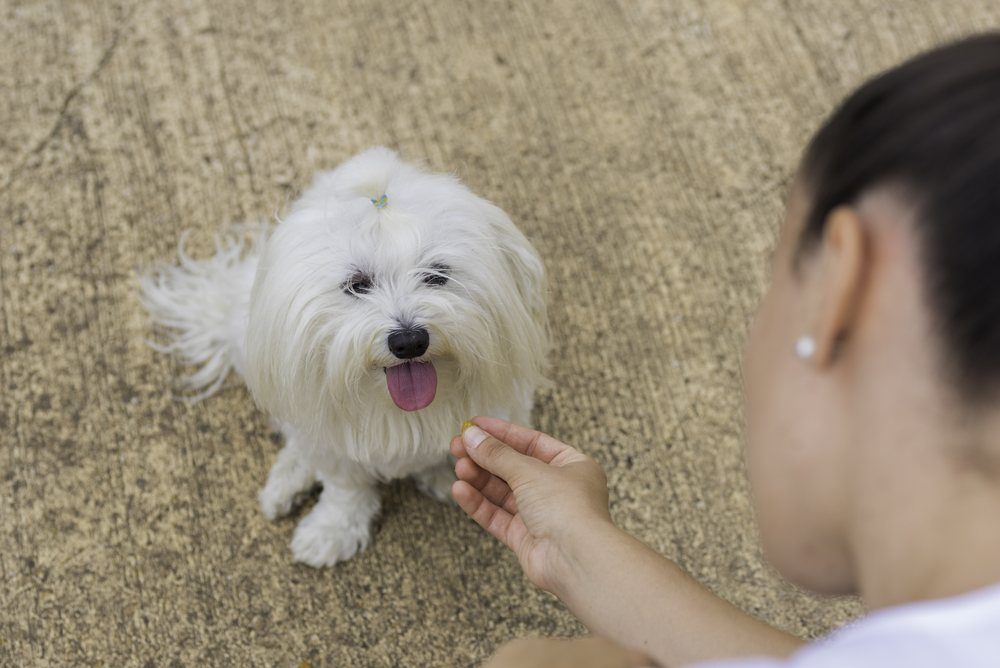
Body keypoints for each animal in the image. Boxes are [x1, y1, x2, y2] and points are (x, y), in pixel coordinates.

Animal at [140, 149, 548, 568]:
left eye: (437, 274)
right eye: (357, 284)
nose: (409, 341)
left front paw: (446, 473)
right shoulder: (332, 441)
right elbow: (345, 489)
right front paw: (331, 531)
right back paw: (288, 480)